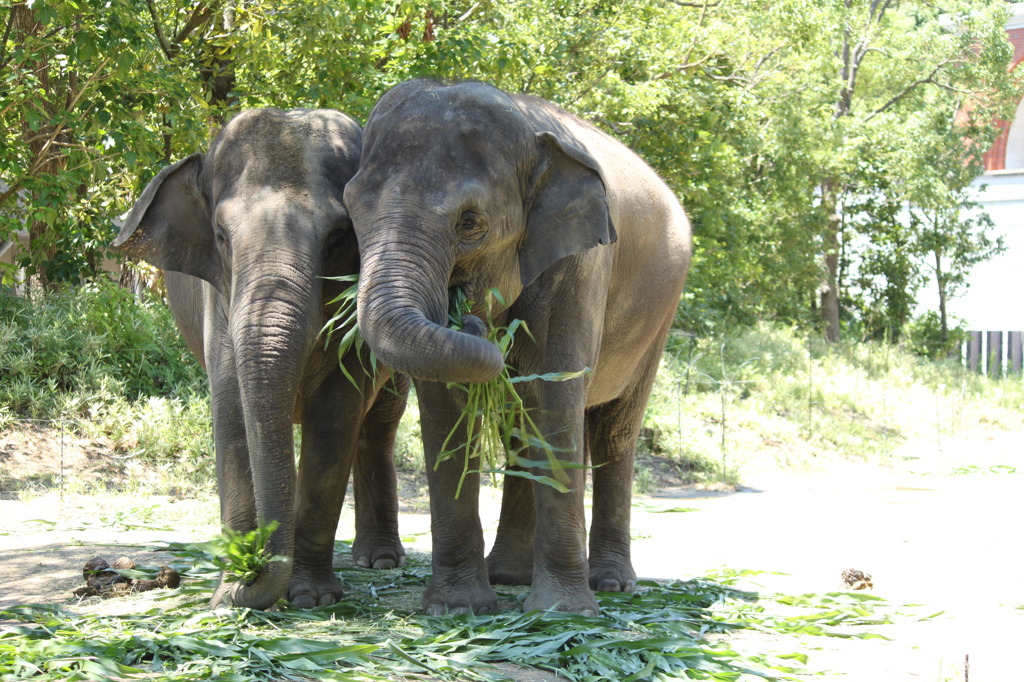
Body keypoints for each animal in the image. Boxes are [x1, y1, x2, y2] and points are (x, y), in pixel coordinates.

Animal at [113, 109, 407, 606]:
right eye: (220, 236)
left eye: (339, 236)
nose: (247, 577)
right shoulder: (218, 300)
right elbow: (232, 414)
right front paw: (227, 596)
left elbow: (336, 417)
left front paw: (311, 598)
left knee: (380, 424)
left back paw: (381, 561)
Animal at [346, 80, 696, 614]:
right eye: (352, 208)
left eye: (471, 222)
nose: (468, 316)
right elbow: (448, 408)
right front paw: (458, 608)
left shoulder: (581, 262)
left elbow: (556, 391)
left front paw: (562, 613)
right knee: (519, 429)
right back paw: (508, 575)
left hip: (661, 314)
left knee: (614, 431)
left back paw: (611, 584)